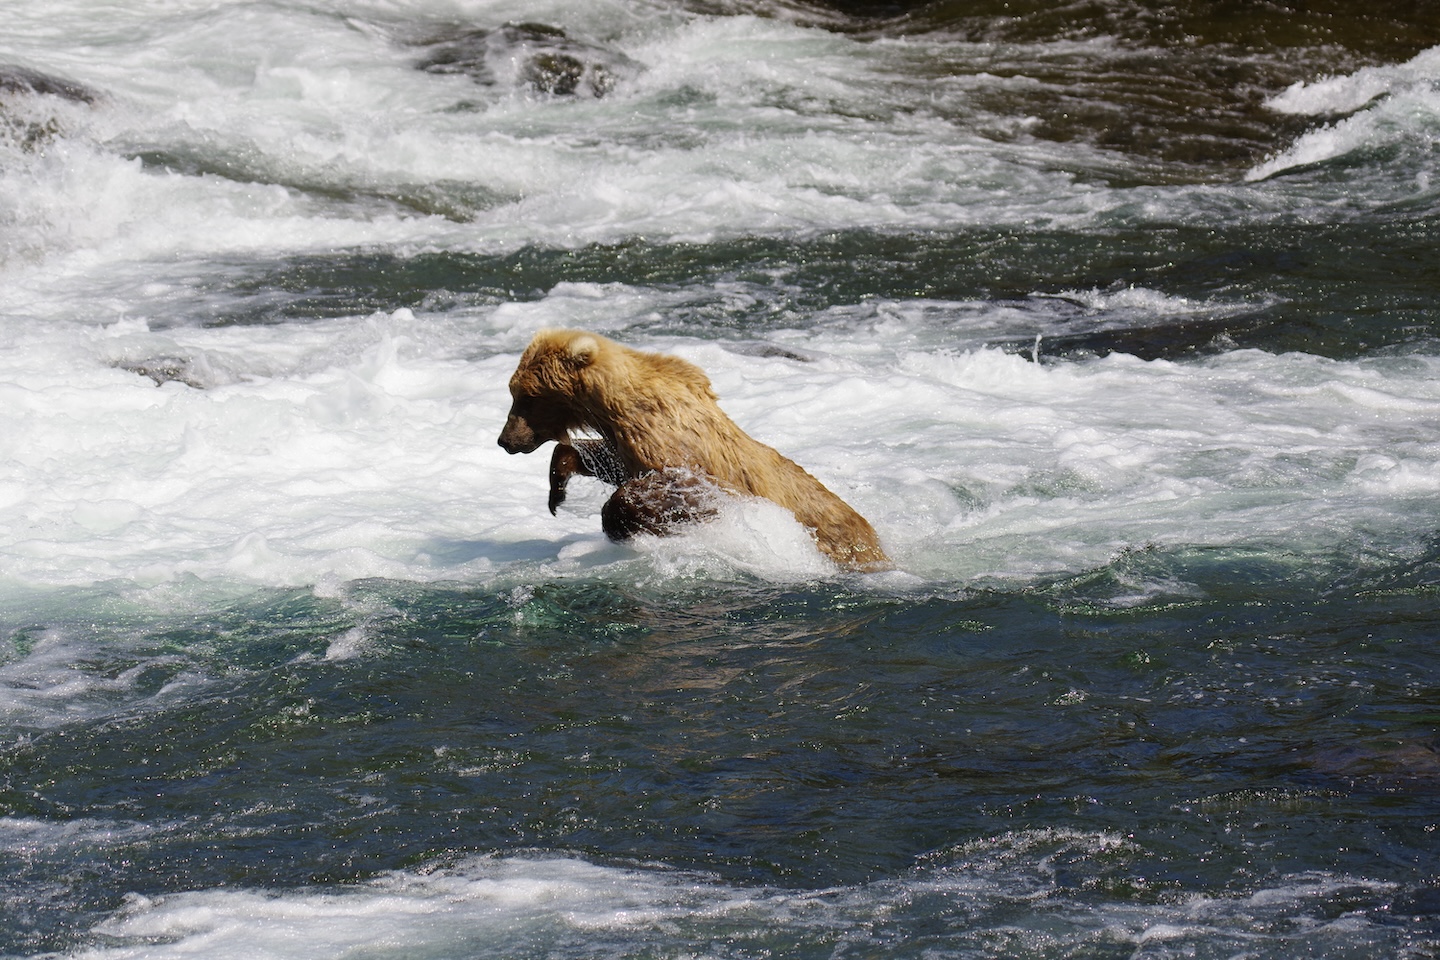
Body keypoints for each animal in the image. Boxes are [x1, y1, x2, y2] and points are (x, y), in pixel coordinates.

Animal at [497, 329, 890, 572]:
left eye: (526, 396)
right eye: (515, 391)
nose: (505, 440)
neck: (614, 407)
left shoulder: (678, 448)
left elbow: (681, 487)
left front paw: (622, 521)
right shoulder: (628, 441)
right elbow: (609, 462)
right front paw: (557, 487)